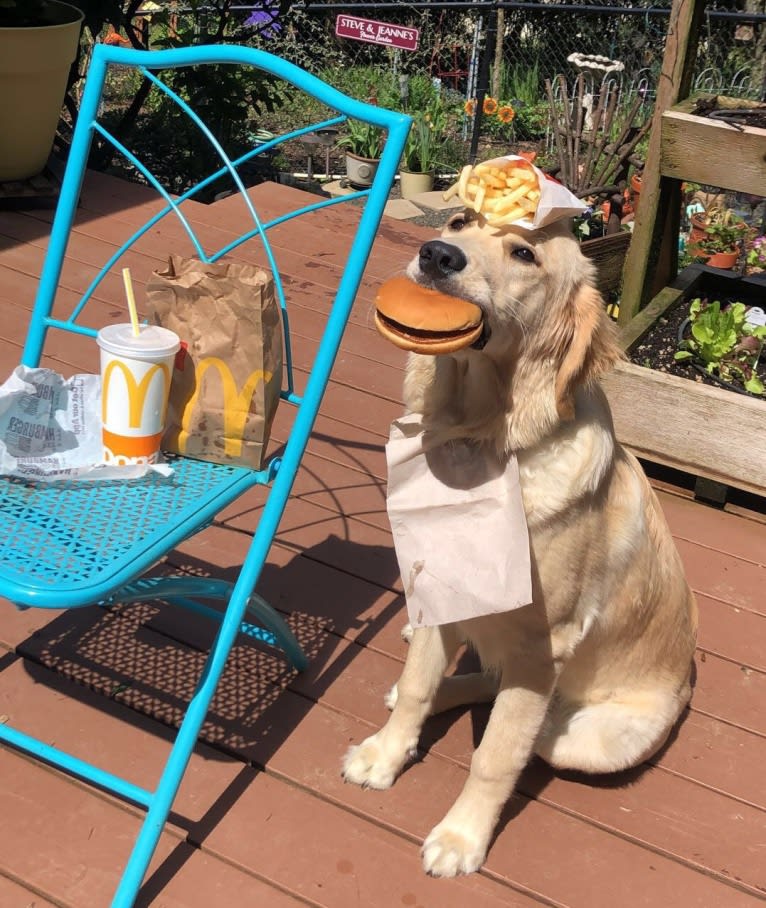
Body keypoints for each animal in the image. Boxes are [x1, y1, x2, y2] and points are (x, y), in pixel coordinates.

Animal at [344, 209, 700, 876]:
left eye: (524, 255)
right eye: (460, 219)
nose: (437, 254)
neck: (481, 438)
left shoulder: (544, 644)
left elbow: (495, 754)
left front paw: (462, 837)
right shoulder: (443, 585)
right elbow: (417, 686)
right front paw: (384, 754)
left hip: (587, 737)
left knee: (532, 727)